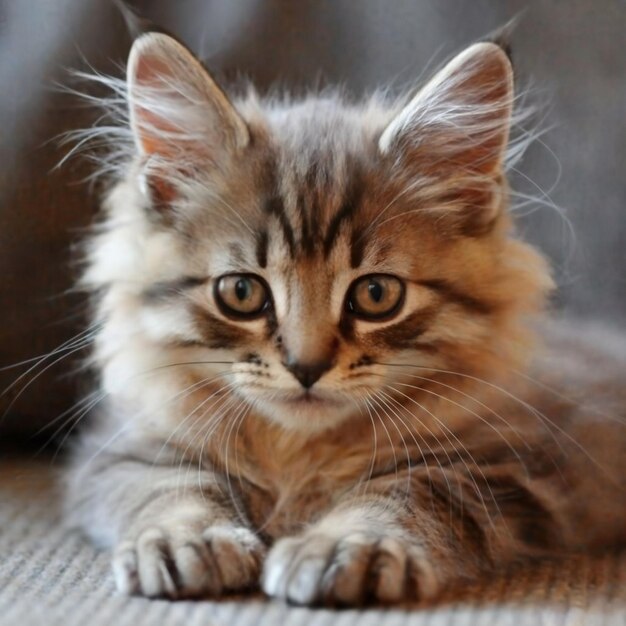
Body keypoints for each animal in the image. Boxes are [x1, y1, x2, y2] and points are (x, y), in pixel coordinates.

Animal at [64, 31, 624, 604]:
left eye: (376, 294)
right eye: (241, 292)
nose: (306, 367)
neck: (298, 450)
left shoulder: (513, 465)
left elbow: (407, 491)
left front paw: (347, 545)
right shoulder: (121, 448)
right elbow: (169, 484)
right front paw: (188, 538)